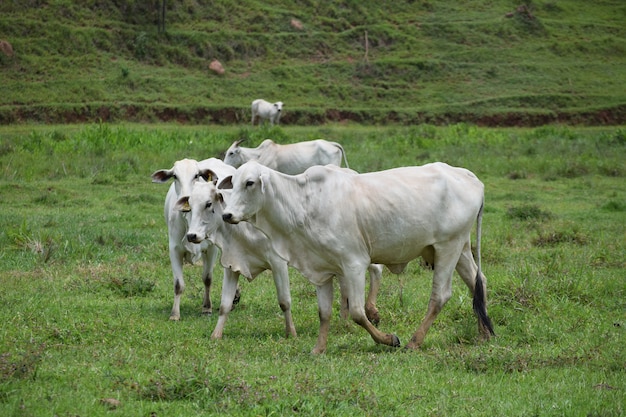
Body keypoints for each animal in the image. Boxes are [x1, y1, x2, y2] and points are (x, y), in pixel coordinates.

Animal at [151, 158, 236, 320]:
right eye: (175, 176)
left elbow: (207, 278)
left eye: (196, 175)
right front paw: (175, 314)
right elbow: (178, 284)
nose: (186, 201)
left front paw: (207, 308)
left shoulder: (211, 249)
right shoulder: (174, 249)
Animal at [219, 161, 492, 352]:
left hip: (448, 247)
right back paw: (484, 334)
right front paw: (318, 348)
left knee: (440, 296)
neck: (303, 203)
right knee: (477, 283)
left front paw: (389, 339)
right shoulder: (321, 270)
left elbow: (358, 313)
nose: (227, 215)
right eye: (233, 183)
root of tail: (471, 178)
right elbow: (324, 313)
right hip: (461, 249)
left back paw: (415, 341)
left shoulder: (355, 264)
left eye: (250, 183)